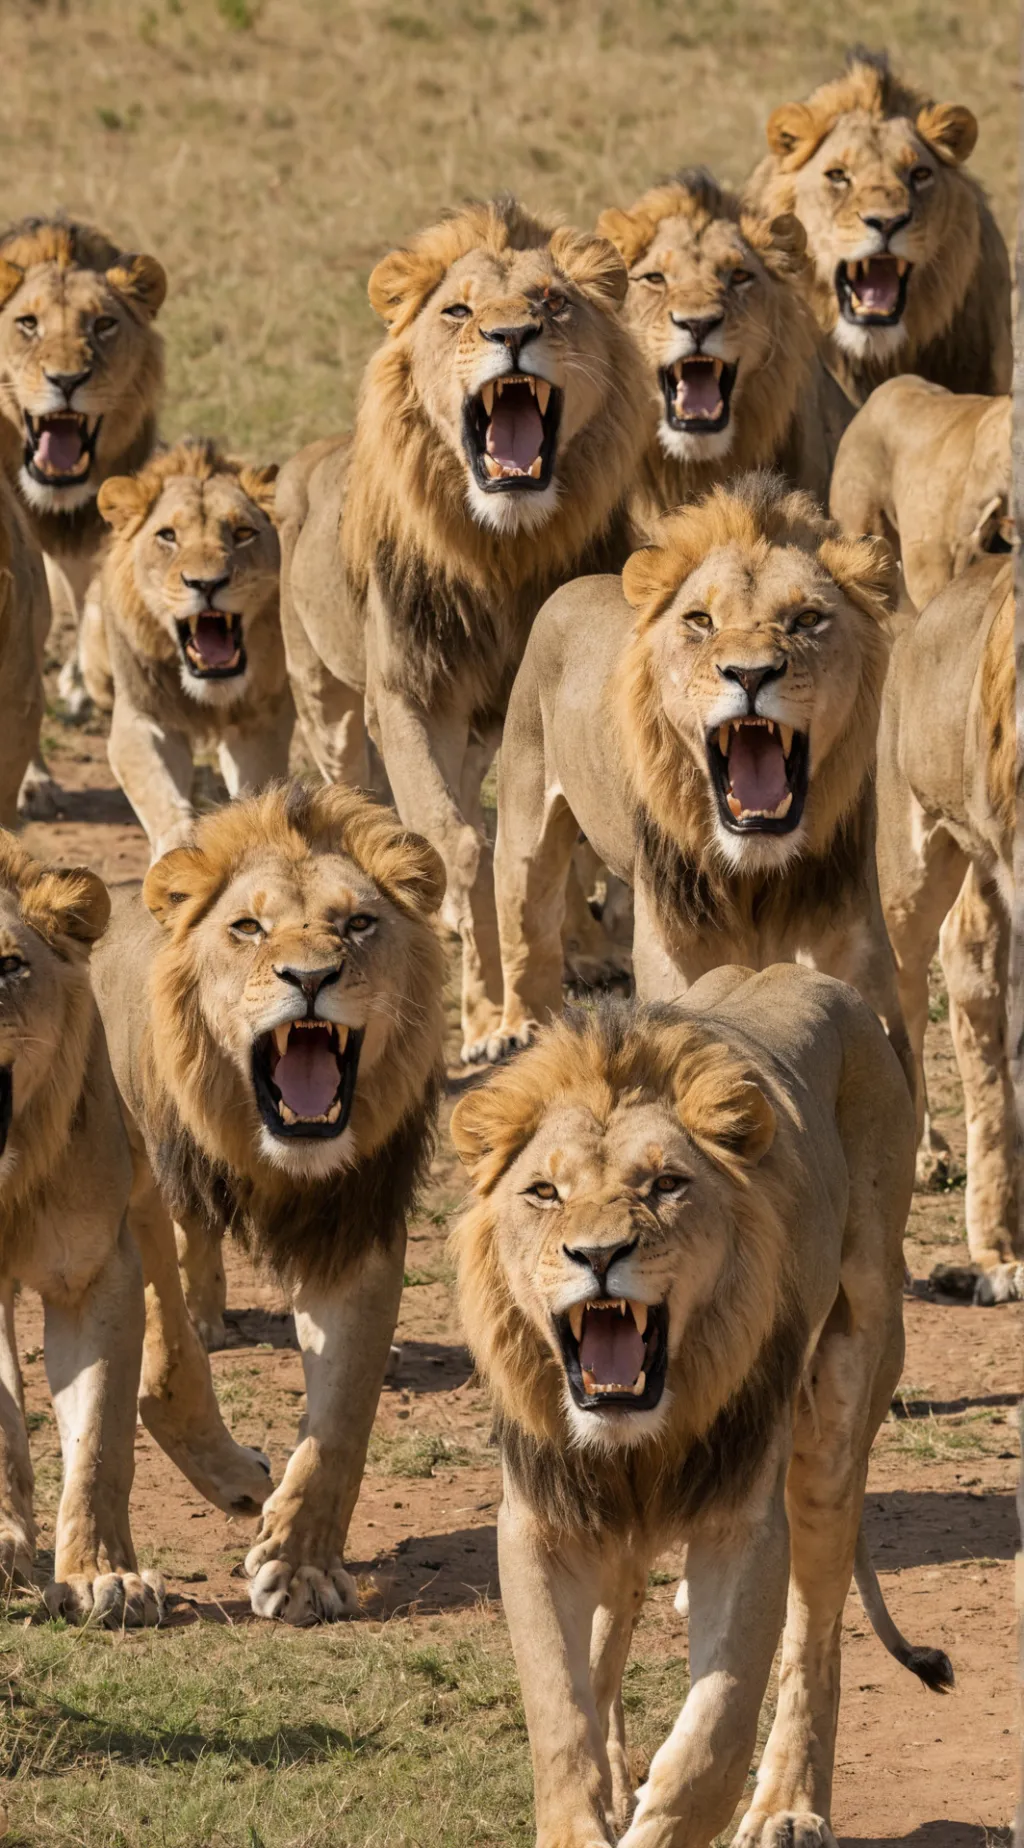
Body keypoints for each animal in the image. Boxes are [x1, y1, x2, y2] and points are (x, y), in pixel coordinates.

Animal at [78, 438, 293, 859]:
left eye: (243, 532)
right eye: (168, 536)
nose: (206, 583)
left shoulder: (259, 721)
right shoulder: (142, 717)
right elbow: (161, 797)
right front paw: (178, 849)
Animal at [91, 779, 447, 1622]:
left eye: (357, 924)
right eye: (247, 928)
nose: (311, 978)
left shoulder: (354, 1222)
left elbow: (344, 1412)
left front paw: (302, 1564)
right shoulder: (131, 1199)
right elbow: (167, 1365)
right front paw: (240, 1479)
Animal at [276, 197, 650, 1061]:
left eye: (553, 302)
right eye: (458, 311)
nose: (512, 335)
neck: (502, 553)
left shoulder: (527, 704)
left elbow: (549, 848)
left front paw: (573, 956)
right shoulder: (411, 700)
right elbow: (460, 844)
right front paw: (485, 1021)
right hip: (330, 706)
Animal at [450, 976, 952, 1848]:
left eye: (666, 1185)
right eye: (544, 1192)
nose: (597, 1256)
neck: (640, 1438)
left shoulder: (744, 1523)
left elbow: (715, 1736)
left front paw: (663, 1814)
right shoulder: (541, 1517)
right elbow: (560, 1713)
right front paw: (589, 1813)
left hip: (840, 1407)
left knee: (815, 1638)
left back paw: (787, 1806)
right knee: (611, 1640)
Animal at [491, 471, 907, 1084]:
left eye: (808, 619)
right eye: (701, 621)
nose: (750, 673)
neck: (756, 874)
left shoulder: (854, 953)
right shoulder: (676, 957)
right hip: (524, 826)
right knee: (526, 926)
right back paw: (517, 1030)